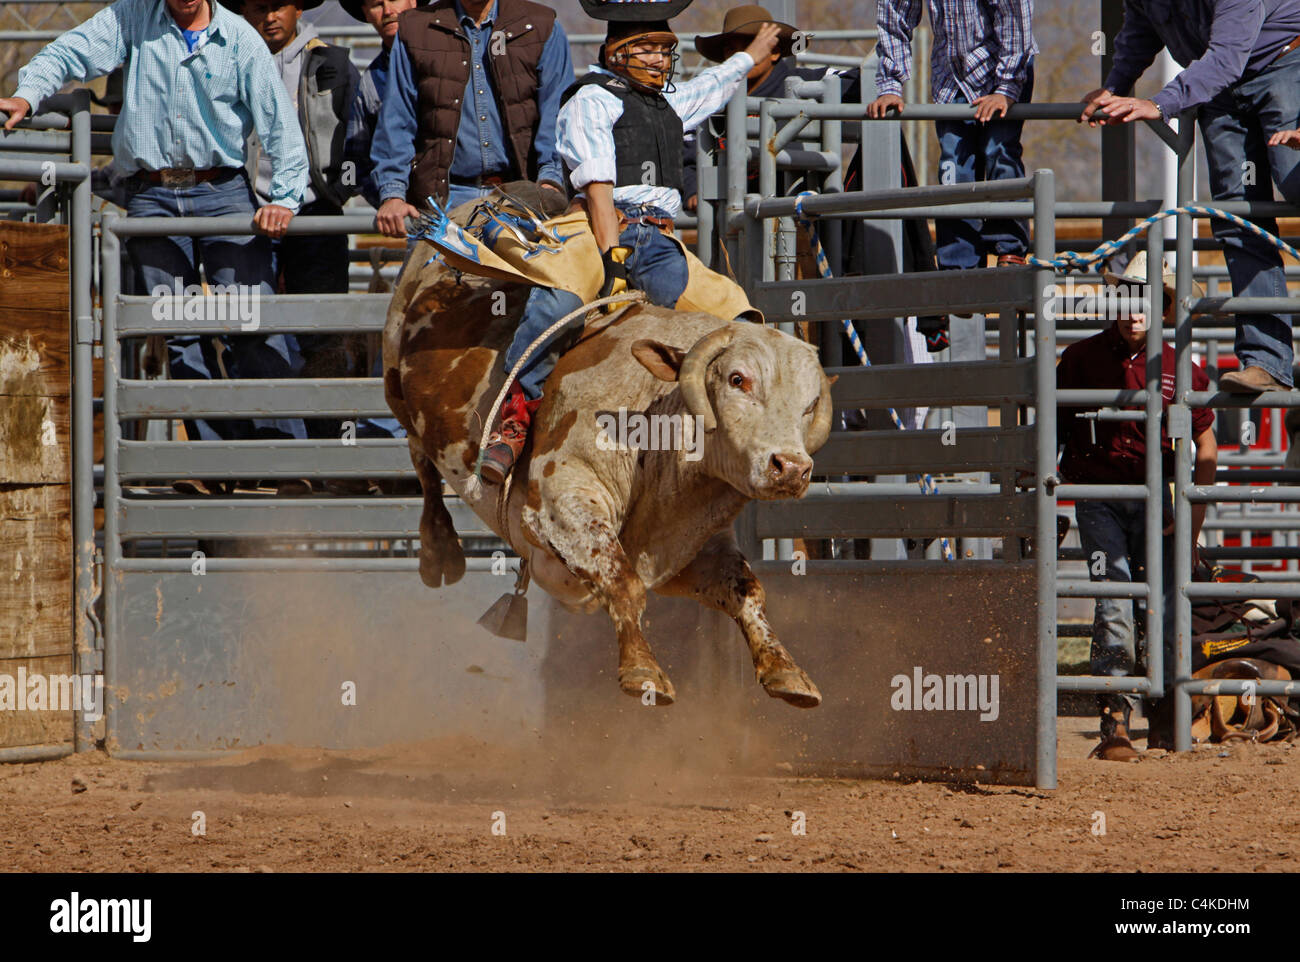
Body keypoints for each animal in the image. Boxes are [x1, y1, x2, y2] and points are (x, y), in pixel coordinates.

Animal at [384, 252, 832, 712]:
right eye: (737, 379)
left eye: (810, 403)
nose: (791, 467)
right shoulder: (560, 502)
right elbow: (624, 582)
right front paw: (643, 671)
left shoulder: (686, 552)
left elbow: (747, 591)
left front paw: (786, 672)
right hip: (394, 382)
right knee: (421, 461)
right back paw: (439, 551)